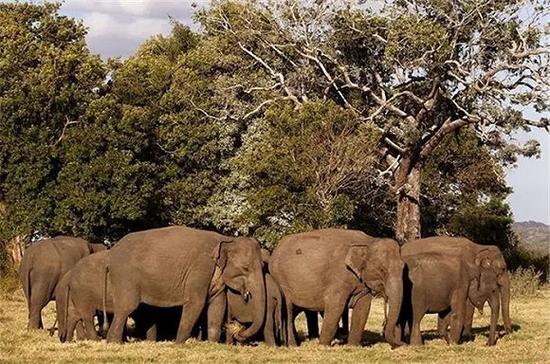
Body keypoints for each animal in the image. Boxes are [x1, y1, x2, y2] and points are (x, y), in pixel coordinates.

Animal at [105, 228, 268, 344]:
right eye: (246, 268)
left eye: (262, 266)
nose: (238, 331)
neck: (226, 239)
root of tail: (112, 251)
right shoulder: (200, 269)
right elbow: (196, 303)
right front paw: (178, 344)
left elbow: (218, 304)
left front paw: (212, 344)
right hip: (125, 277)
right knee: (127, 307)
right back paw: (115, 343)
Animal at [272, 230, 406, 346]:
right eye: (382, 270)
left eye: (403, 268)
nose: (401, 343)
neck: (369, 240)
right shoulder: (338, 277)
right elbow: (336, 307)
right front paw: (323, 346)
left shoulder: (361, 283)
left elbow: (363, 308)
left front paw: (352, 346)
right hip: (280, 279)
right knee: (288, 310)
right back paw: (292, 345)